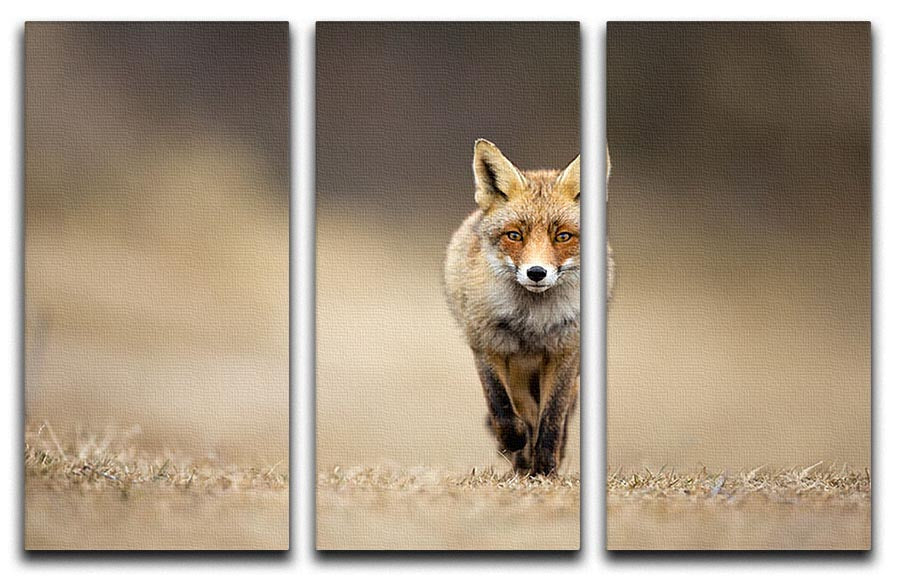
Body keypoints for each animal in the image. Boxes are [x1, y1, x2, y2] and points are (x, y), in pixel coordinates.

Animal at [444, 139, 581, 476]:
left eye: (563, 236)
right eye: (514, 235)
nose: (536, 272)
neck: (532, 320)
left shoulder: (565, 351)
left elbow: (552, 418)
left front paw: (545, 470)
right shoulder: (487, 346)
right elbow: (501, 407)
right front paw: (515, 441)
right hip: (517, 366)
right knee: (522, 407)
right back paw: (519, 457)